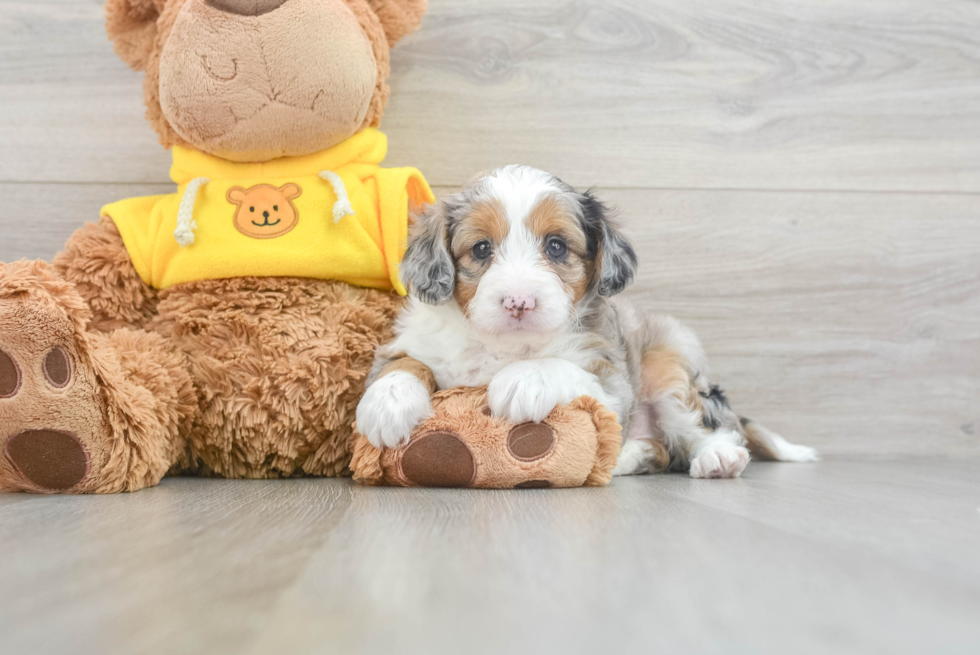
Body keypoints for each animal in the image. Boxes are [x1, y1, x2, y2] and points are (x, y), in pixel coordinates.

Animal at [356, 167, 816, 480]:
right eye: (482, 249)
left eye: (557, 246)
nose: (519, 301)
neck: (506, 344)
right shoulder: (411, 343)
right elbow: (404, 364)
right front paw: (386, 403)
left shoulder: (612, 385)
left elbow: (562, 368)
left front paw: (522, 379)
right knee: (663, 451)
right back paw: (627, 457)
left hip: (667, 365)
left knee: (705, 423)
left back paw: (718, 456)